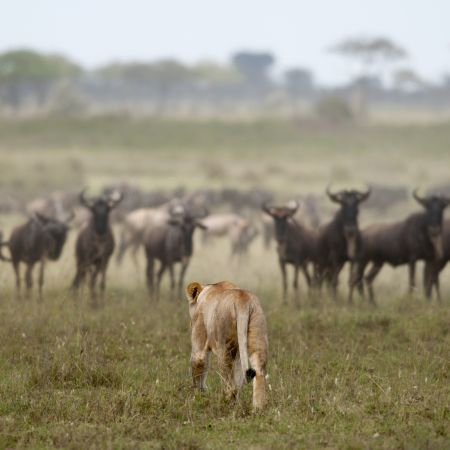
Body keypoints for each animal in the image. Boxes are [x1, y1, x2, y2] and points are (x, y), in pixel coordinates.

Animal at [185, 282, 268, 412]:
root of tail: (242, 300)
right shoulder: (238, 352)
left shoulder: (200, 338)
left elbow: (198, 364)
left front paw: (198, 396)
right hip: (257, 332)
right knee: (258, 373)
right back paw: (257, 408)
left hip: (224, 347)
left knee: (230, 385)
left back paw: (226, 404)